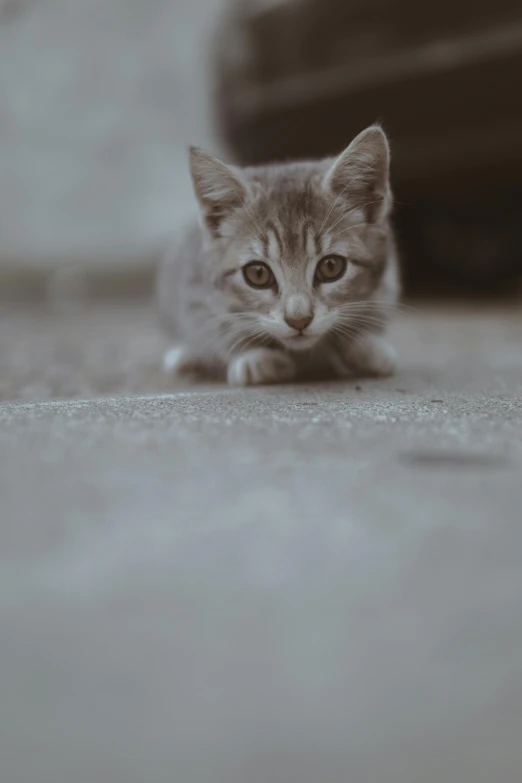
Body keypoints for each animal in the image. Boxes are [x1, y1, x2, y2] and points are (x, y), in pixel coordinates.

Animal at [156, 123, 400, 388]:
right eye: (258, 273)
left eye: (331, 266)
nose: (298, 320)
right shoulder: (194, 288)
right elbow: (216, 326)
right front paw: (254, 355)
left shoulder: (388, 283)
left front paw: (365, 345)